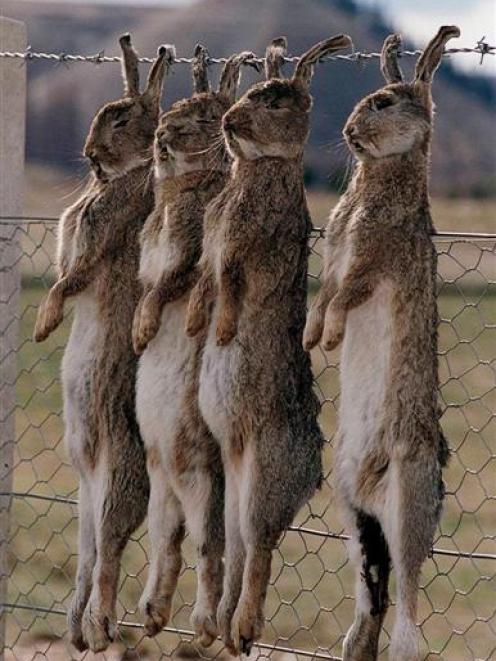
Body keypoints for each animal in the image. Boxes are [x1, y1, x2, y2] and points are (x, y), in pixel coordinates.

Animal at [186, 33, 352, 652]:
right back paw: (220, 627)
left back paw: (242, 628)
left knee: (259, 550)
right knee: (237, 552)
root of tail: (312, 473)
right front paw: (197, 325)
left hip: (262, 478)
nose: (229, 121)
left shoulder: (247, 252)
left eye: (278, 103)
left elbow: (233, 285)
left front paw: (224, 331)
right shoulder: (210, 253)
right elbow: (203, 285)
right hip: (232, 487)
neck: (262, 168)